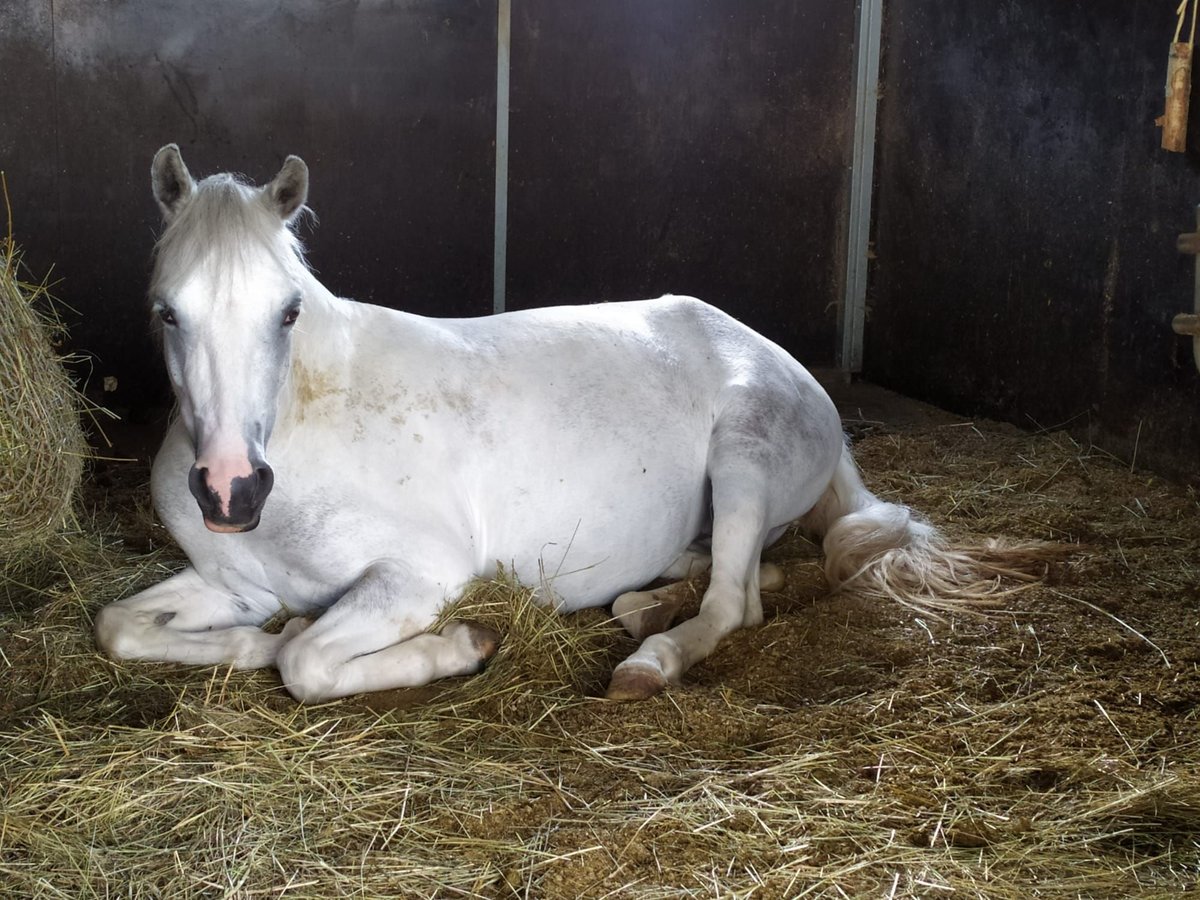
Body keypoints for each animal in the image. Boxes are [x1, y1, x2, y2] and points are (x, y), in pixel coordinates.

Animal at [96, 146, 1051, 705]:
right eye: (167, 311)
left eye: (288, 311)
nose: (231, 492)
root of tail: (789, 368)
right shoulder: (235, 585)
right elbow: (123, 626)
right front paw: (258, 642)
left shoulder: (419, 574)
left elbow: (307, 666)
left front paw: (463, 644)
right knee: (740, 574)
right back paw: (643, 604)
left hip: (743, 459)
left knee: (736, 602)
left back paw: (647, 661)